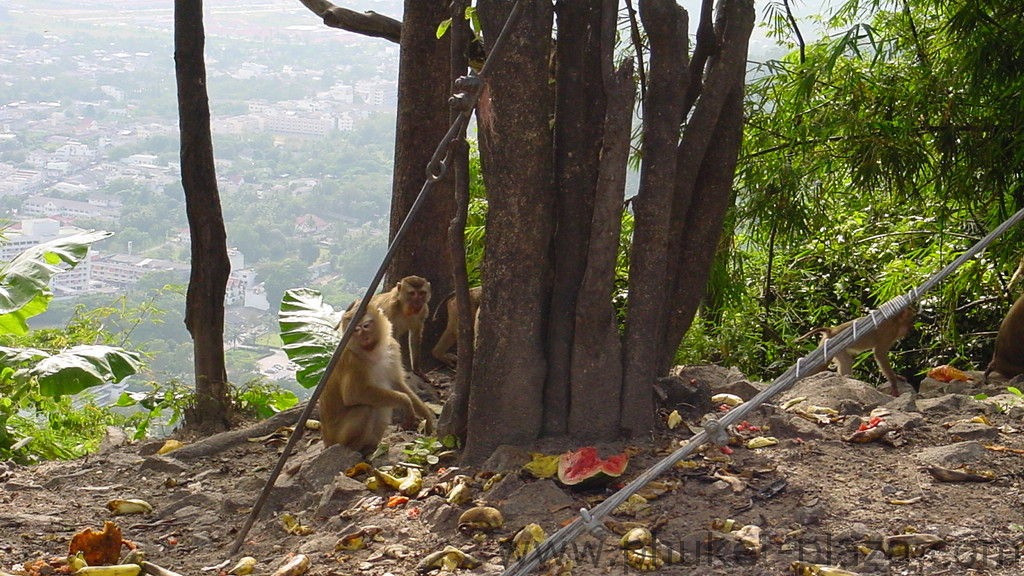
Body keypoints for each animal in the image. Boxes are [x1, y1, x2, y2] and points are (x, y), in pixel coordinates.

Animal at [319, 303, 432, 455]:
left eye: (366, 326)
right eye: (356, 330)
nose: (363, 336)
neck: (372, 351)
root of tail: (326, 440)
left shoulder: (392, 348)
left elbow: (397, 384)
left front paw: (427, 417)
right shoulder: (351, 360)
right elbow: (353, 395)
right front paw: (406, 403)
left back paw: (370, 448)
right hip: (337, 438)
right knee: (366, 408)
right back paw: (353, 450)